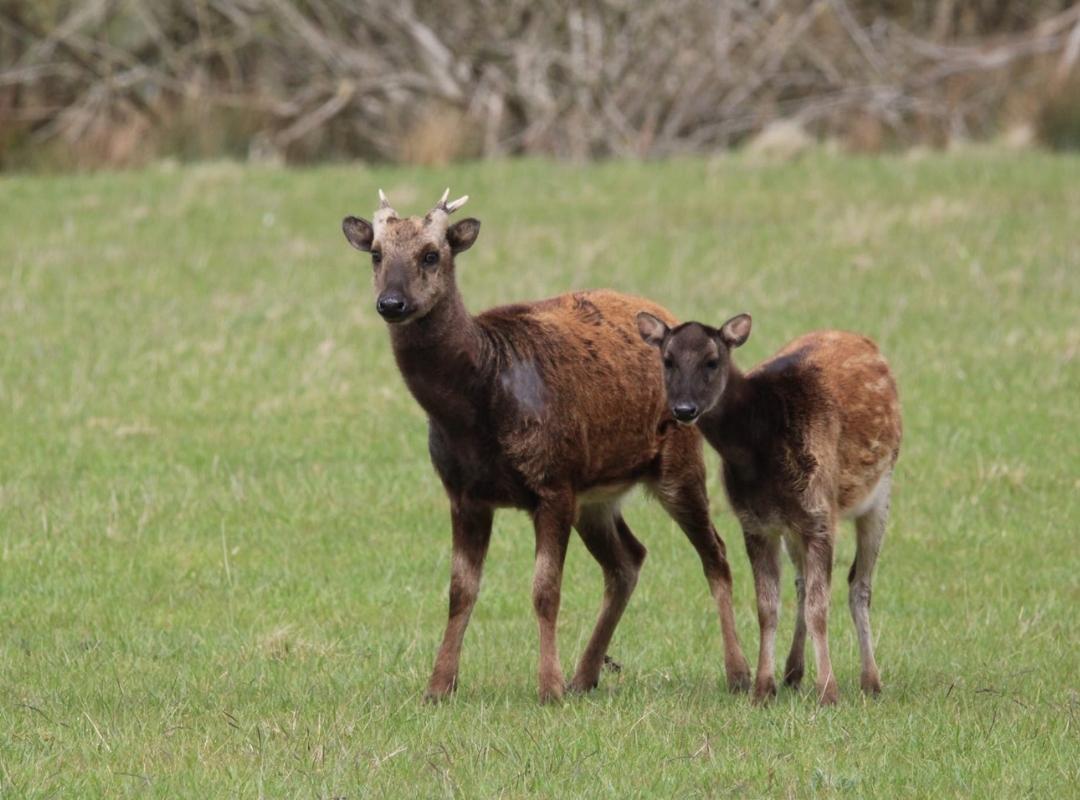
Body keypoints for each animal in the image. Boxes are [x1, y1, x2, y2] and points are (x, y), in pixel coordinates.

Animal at [341, 189, 751, 703]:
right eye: (377, 253)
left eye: (431, 254)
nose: (391, 302)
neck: (474, 409)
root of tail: (669, 317)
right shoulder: (464, 493)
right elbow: (460, 590)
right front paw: (439, 686)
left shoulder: (553, 482)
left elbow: (545, 590)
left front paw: (548, 687)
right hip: (595, 494)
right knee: (628, 559)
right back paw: (586, 675)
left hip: (678, 462)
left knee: (716, 553)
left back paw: (738, 674)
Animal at [637, 312, 902, 705]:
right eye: (667, 360)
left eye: (712, 361)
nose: (684, 409)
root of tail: (863, 341)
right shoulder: (755, 522)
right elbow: (767, 606)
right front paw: (763, 689)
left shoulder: (820, 512)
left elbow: (820, 607)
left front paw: (829, 692)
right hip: (793, 527)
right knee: (803, 583)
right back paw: (793, 673)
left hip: (880, 492)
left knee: (860, 585)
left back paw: (871, 681)